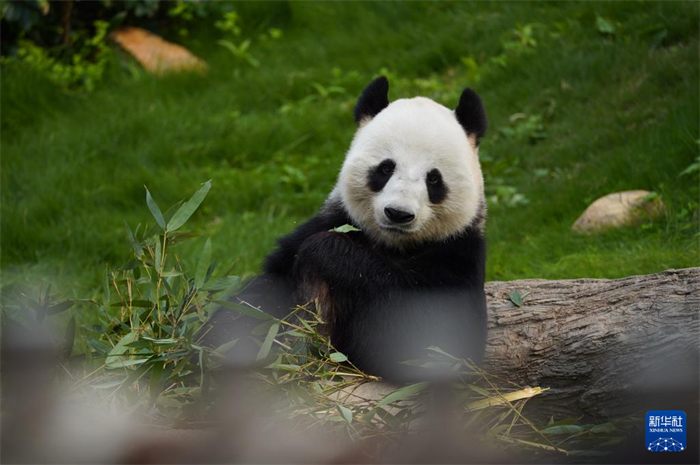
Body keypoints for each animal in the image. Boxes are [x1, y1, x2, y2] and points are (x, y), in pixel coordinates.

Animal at [202, 77, 486, 380]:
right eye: (385, 168)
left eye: (433, 179)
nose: (398, 214)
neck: (392, 245)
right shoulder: (335, 219)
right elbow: (260, 297)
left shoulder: (457, 254)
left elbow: (427, 342)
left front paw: (325, 251)